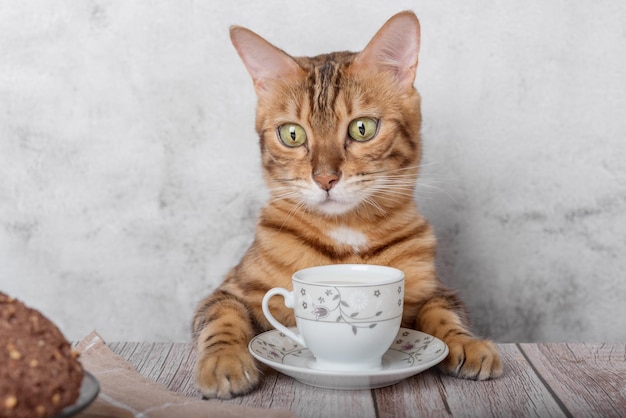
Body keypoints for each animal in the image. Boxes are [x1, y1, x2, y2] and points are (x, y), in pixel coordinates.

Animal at [191, 10, 502, 398]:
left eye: (362, 128)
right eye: (292, 134)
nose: (325, 178)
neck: (346, 235)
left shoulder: (433, 290)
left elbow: (445, 313)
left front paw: (467, 343)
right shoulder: (230, 290)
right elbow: (223, 317)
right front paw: (223, 362)